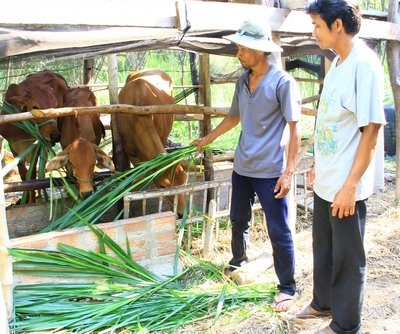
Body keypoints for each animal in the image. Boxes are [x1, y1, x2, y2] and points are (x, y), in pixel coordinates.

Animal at [0, 69, 68, 202]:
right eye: (35, 107)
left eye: (56, 105)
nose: (55, 136)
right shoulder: (13, 146)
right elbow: (23, 175)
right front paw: (25, 200)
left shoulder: (35, 146)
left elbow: (32, 176)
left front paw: (32, 200)